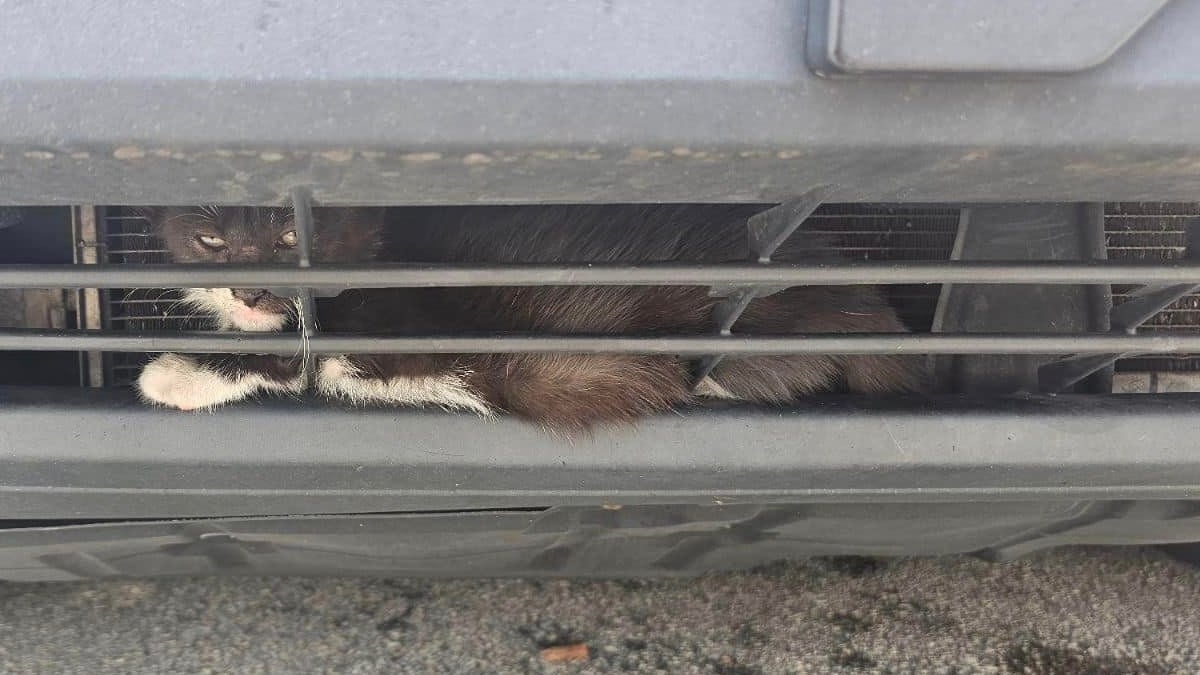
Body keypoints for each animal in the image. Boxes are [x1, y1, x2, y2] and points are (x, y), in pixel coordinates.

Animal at [138, 201, 926, 429]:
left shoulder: (396, 324)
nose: (252, 293)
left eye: (290, 237)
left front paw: (171, 373)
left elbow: (297, 357)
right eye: (210, 240)